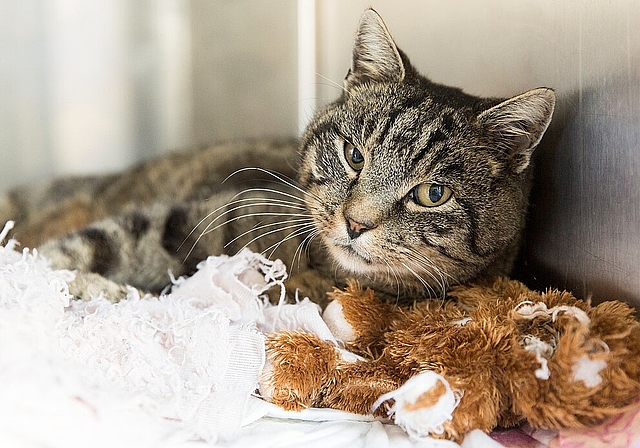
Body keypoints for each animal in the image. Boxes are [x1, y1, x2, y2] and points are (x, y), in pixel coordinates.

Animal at [0, 9, 556, 308]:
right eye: (354, 156)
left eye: (431, 194)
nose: (355, 223)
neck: (324, 270)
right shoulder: (202, 217)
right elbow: (82, 249)